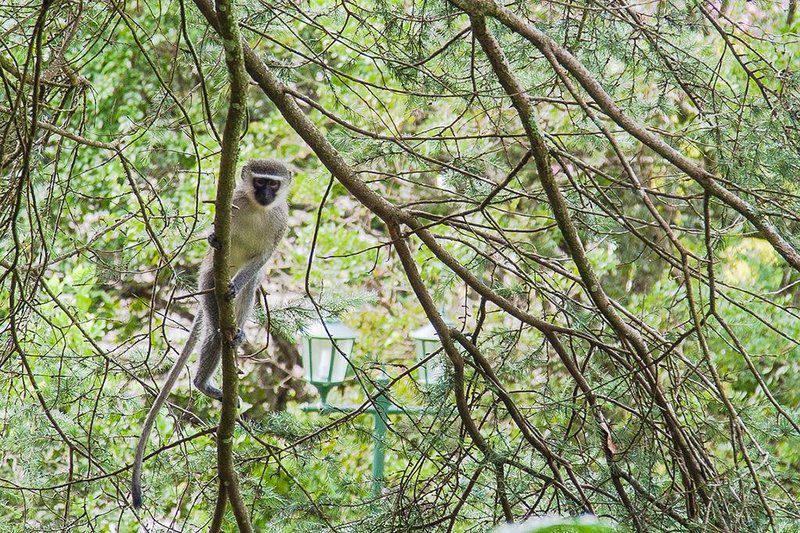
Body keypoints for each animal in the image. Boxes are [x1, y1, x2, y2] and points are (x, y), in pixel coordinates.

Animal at [130, 158, 292, 508]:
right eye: (259, 182)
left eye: (273, 184)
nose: (265, 194)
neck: (257, 209)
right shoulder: (230, 203)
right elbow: (217, 233)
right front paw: (213, 239)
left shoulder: (281, 221)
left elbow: (261, 259)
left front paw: (238, 284)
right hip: (206, 283)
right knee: (216, 331)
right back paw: (203, 383)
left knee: (249, 288)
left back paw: (238, 330)